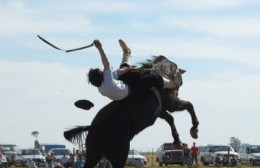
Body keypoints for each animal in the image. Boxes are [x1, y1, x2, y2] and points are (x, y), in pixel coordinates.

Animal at [63, 54, 199, 167]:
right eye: (181, 81)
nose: (176, 90)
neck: (161, 73)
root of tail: (93, 127)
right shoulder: (171, 104)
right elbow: (189, 106)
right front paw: (194, 129)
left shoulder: (160, 111)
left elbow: (170, 119)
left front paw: (177, 140)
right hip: (119, 155)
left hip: (93, 155)